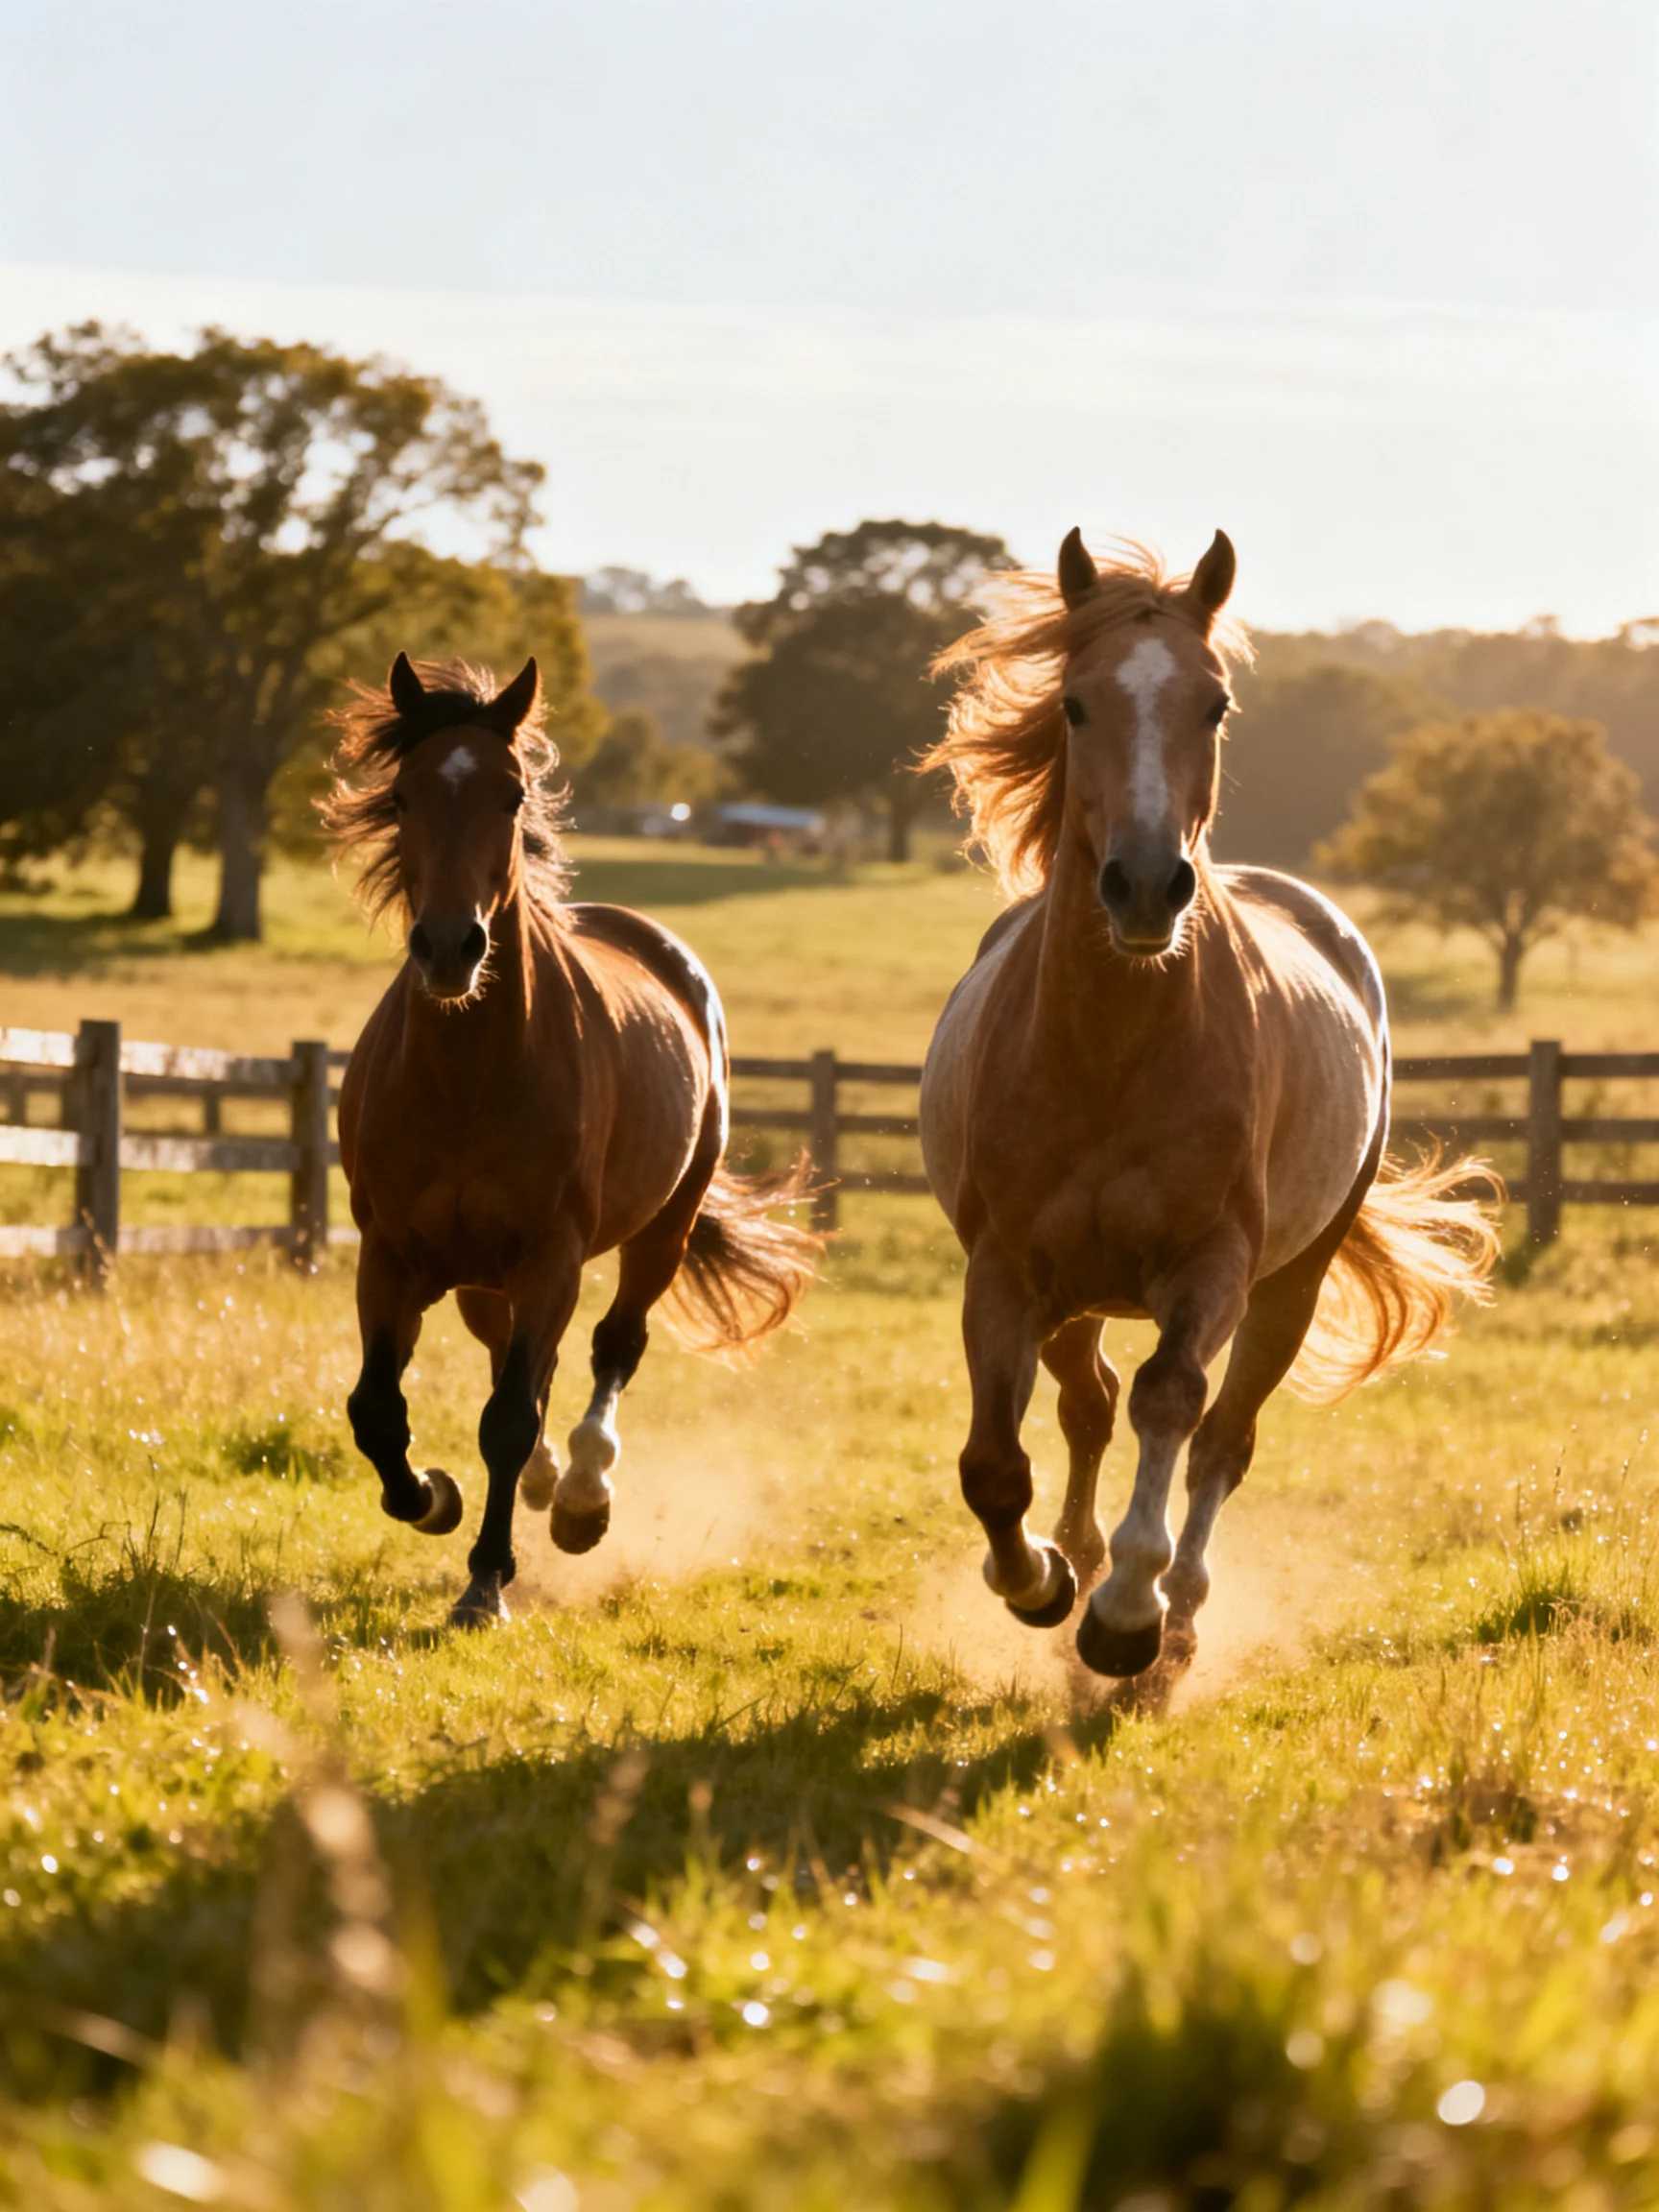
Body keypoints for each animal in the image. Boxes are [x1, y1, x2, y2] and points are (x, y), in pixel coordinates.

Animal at [323, 654, 817, 1624]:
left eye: (512, 794)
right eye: (401, 795)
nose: (450, 947)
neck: (467, 1075)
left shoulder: (552, 1250)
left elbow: (511, 1417)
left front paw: (485, 1580)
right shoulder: (389, 1254)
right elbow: (378, 1411)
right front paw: (432, 1498)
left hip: (660, 1230)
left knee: (608, 1349)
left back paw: (583, 1495)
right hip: (484, 1271)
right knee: (512, 1353)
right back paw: (550, 1482)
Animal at [918, 530, 1497, 1678]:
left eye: (1215, 704)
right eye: (1074, 704)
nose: (1147, 886)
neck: (1111, 1052)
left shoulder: (1213, 1263)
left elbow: (1173, 1402)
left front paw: (1125, 1611)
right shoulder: (1005, 1269)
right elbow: (995, 1463)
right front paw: (1044, 1579)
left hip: (1292, 1283)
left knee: (1220, 1438)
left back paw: (1175, 1612)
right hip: (1079, 1294)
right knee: (1088, 1406)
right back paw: (1081, 1559)